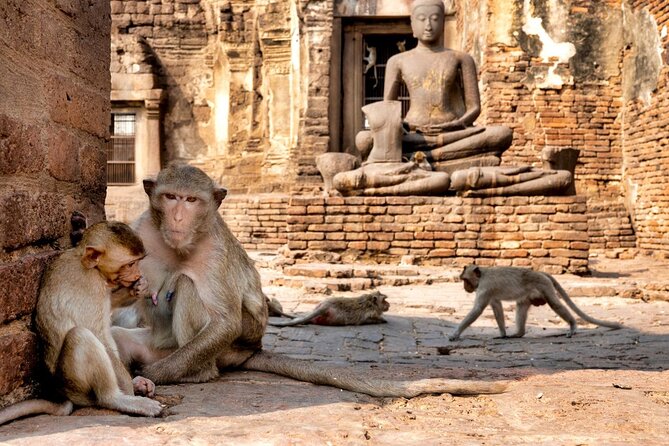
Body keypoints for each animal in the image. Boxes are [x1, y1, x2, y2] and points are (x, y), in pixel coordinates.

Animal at [0, 223, 163, 426]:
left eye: (137, 262)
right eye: (130, 264)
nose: (138, 274)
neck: (85, 262)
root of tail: (65, 393)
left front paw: (138, 288)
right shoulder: (91, 285)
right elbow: (97, 333)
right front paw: (129, 388)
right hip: (76, 384)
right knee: (81, 335)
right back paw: (117, 398)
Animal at [111, 164, 506, 398]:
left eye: (192, 200)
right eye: (170, 197)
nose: (178, 217)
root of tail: (251, 351)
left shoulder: (214, 250)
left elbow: (224, 321)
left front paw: (154, 374)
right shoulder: (141, 228)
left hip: (226, 349)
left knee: (190, 291)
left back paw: (193, 374)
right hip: (160, 342)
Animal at [448, 264, 620, 342]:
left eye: (465, 280)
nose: (465, 288)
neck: (483, 274)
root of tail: (539, 272)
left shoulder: (485, 288)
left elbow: (477, 310)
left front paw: (455, 334)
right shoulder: (490, 293)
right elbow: (497, 307)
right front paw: (502, 334)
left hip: (544, 286)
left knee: (555, 304)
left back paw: (572, 326)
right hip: (531, 294)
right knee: (521, 306)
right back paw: (519, 333)